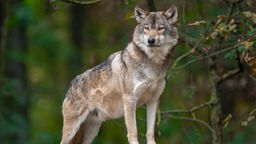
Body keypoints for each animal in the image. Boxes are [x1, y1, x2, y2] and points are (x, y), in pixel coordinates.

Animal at [61, 5, 179, 144]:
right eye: (147, 28)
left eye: (161, 28)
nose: (151, 40)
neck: (153, 64)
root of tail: (71, 84)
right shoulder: (129, 100)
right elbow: (133, 132)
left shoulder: (154, 100)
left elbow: (150, 133)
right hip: (72, 131)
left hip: (91, 132)